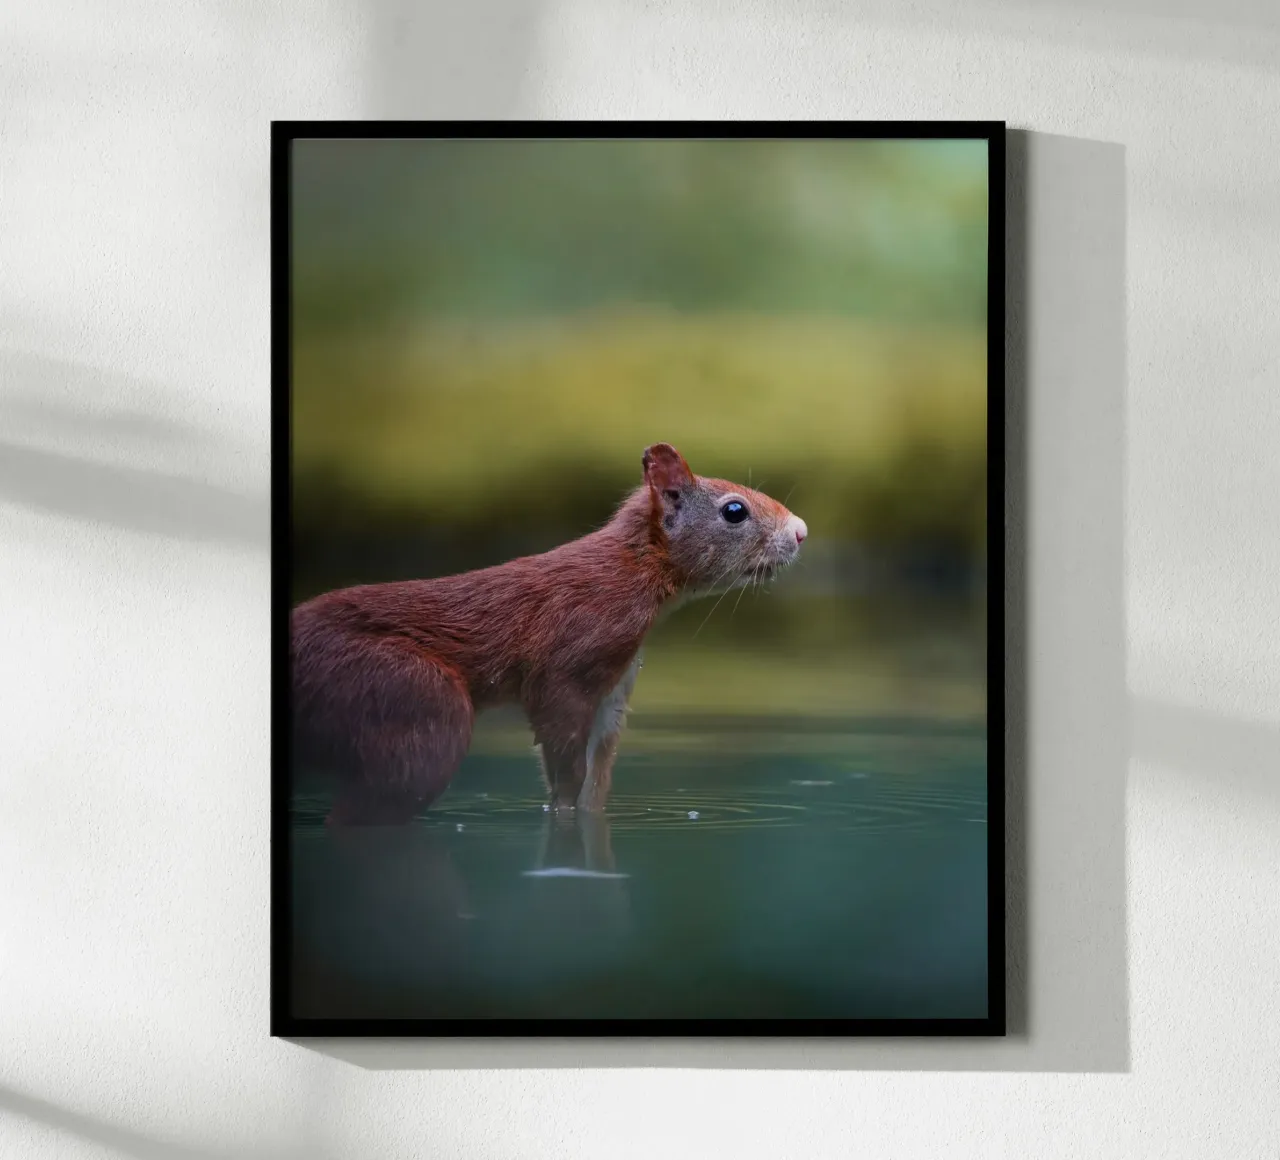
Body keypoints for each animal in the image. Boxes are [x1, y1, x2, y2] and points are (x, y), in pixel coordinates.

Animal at [291, 442, 807, 826]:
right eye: (734, 510)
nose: (801, 531)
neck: (631, 572)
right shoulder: (569, 659)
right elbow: (563, 758)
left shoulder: (615, 687)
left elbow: (596, 779)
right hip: (407, 698)